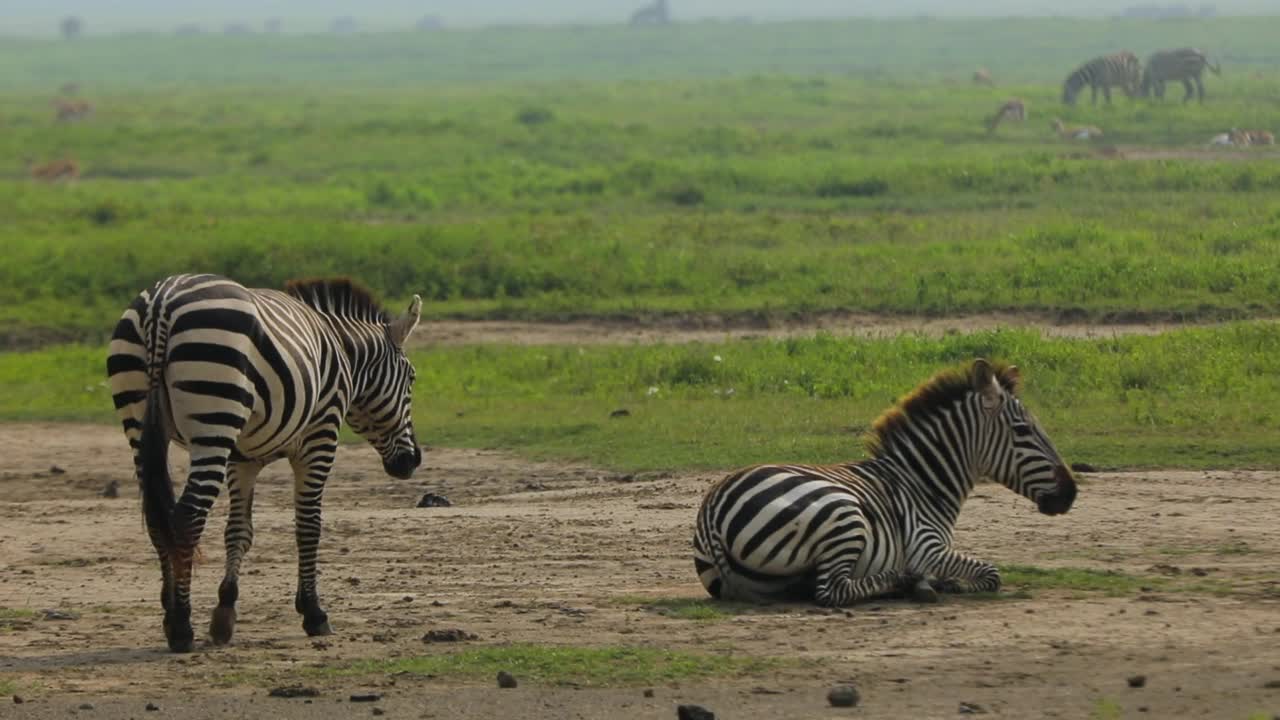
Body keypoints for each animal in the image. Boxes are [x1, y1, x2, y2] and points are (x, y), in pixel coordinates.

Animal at [106, 272, 424, 650]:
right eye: (412, 378)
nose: (412, 461)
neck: (344, 352)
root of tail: (161, 304)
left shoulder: (242, 459)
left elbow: (239, 530)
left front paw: (225, 610)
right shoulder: (320, 436)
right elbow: (309, 526)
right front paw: (313, 612)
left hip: (140, 423)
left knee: (158, 519)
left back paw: (170, 616)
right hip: (214, 420)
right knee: (187, 516)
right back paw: (182, 628)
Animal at [696, 358, 1075, 604]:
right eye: (1023, 430)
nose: (1071, 493)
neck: (922, 482)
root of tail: (713, 508)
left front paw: (944, 582)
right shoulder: (926, 547)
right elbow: (991, 573)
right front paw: (945, 583)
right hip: (844, 513)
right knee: (831, 592)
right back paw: (904, 582)